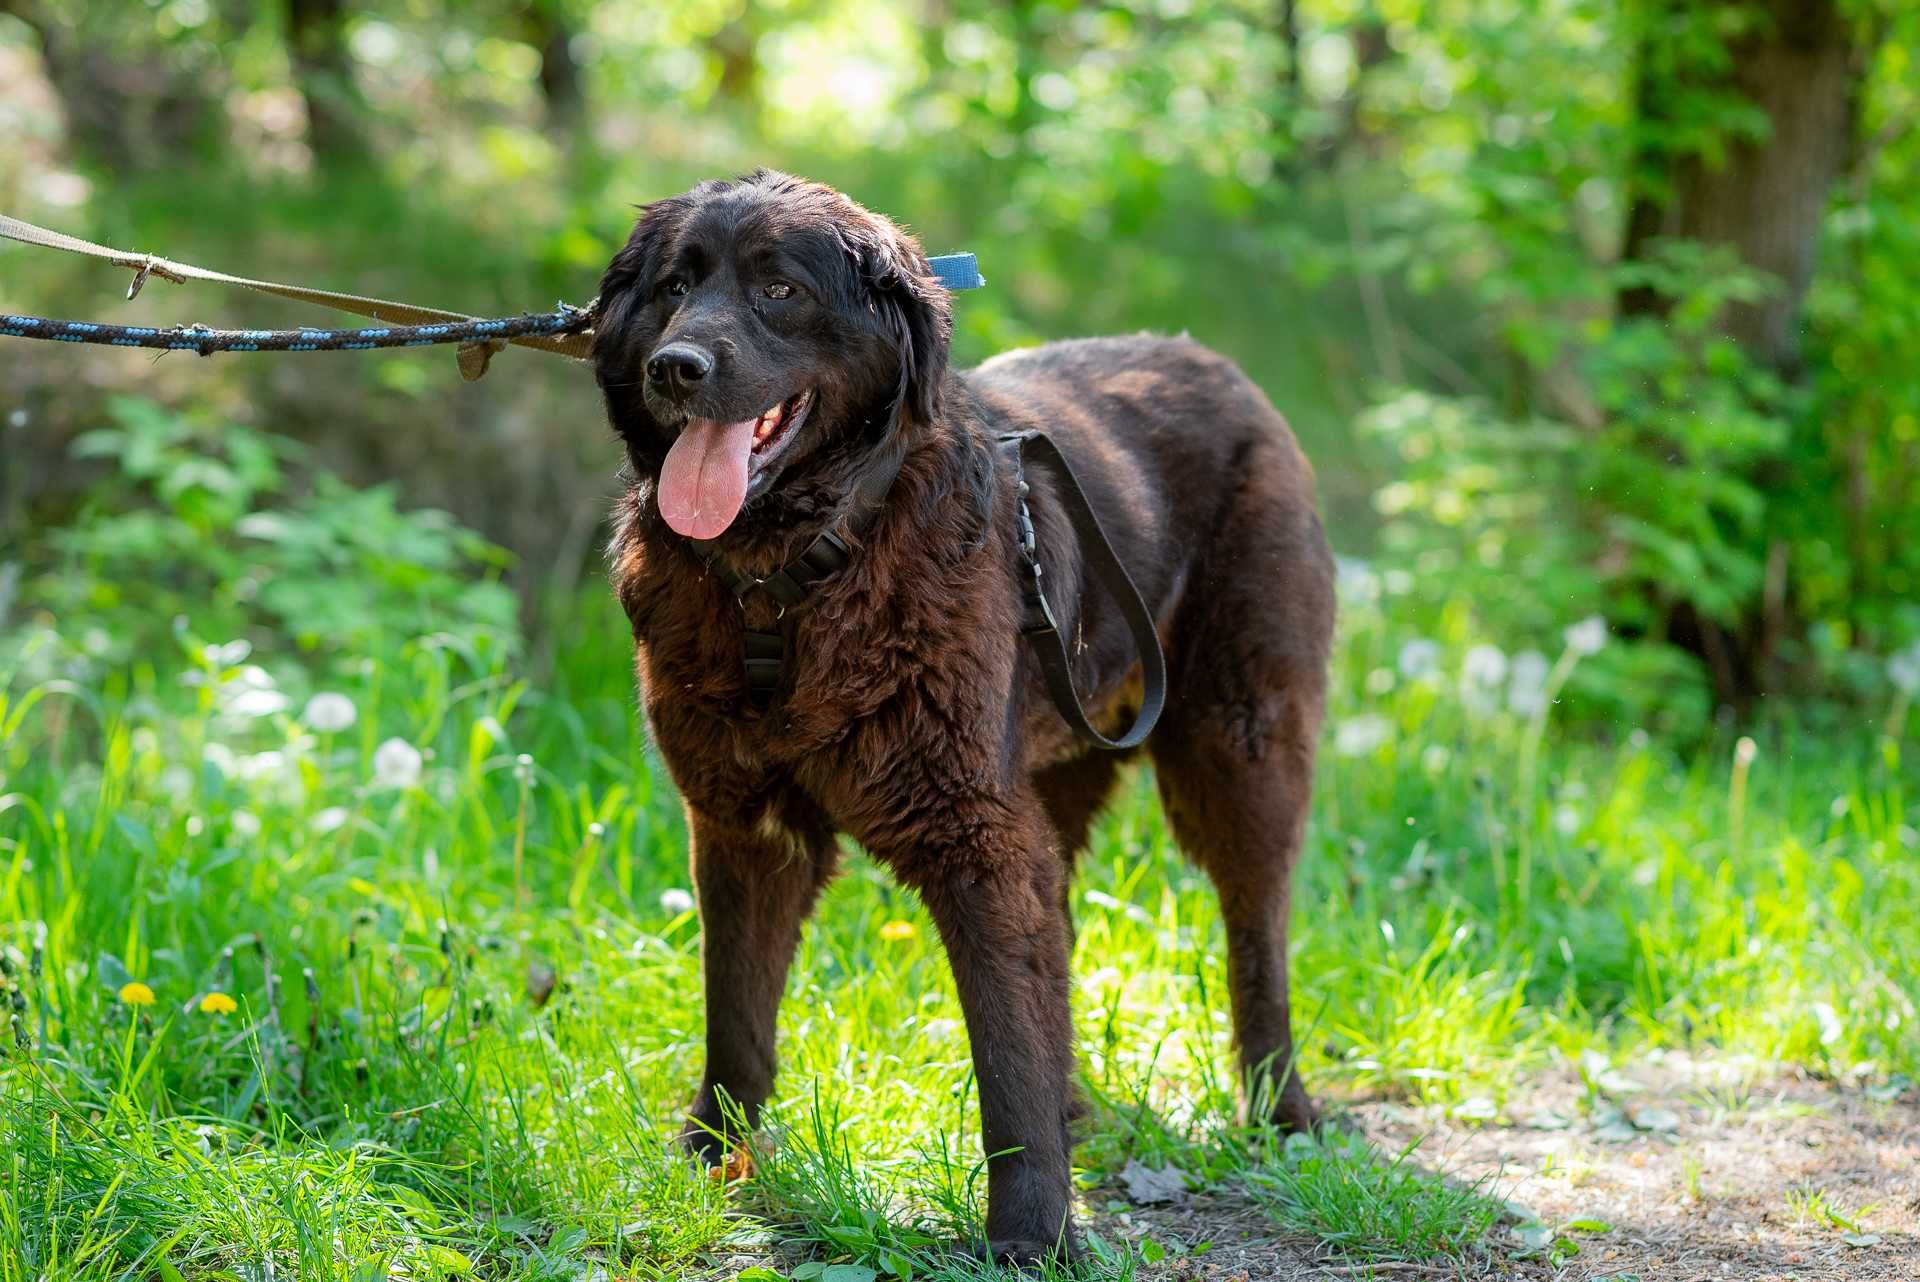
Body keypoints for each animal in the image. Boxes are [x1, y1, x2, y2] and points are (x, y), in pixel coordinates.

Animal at [591, 169, 1328, 1258]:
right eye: (675, 287)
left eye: (779, 290)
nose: (676, 368)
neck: (792, 585)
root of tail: (1217, 363)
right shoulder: (746, 826)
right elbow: (737, 1018)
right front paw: (712, 1169)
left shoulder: (975, 832)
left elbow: (1005, 1050)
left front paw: (1030, 1234)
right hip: (1057, 779)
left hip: (1237, 751)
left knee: (1257, 936)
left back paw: (1283, 1112)